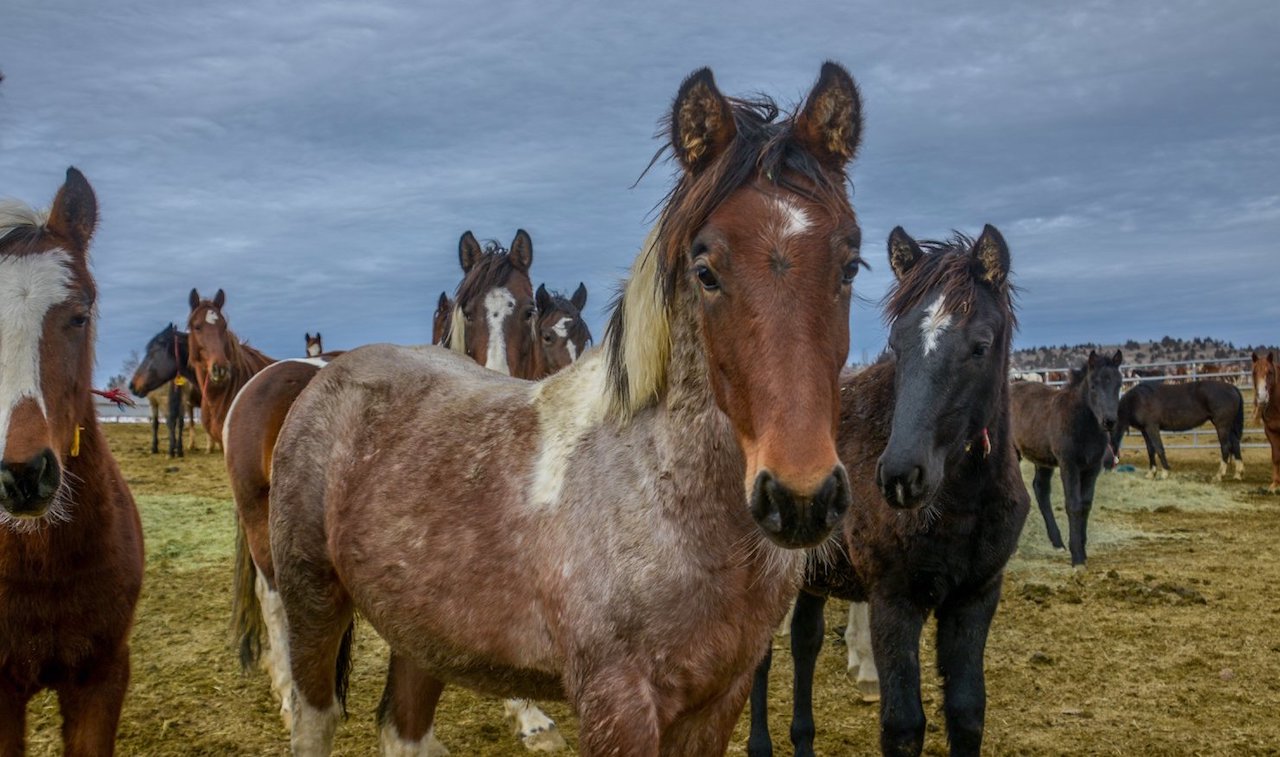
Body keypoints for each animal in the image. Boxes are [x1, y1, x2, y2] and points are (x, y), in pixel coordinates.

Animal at [271, 63, 870, 757]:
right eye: (706, 270)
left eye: (850, 264)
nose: (800, 499)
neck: (664, 495)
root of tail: (329, 376)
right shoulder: (618, 705)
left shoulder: (718, 701)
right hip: (313, 604)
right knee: (316, 718)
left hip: (420, 633)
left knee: (403, 727)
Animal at [747, 225, 1029, 757]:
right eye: (897, 345)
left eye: (980, 346)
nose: (901, 476)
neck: (963, 502)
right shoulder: (893, 601)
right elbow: (902, 725)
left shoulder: (976, 597)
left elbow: (967, 713)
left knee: (805, 642)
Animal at [1008, 353, 1121, 566]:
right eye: (1093, 385)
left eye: (1119, 384)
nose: (1109, 421)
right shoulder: (1069, 465)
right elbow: (1074, 505)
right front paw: (1077, 556)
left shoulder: (1092, 467)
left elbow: (1086, 504)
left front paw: (1082, 548)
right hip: (1013, 453)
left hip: (1042, 458)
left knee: (1041, 490)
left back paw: (1057, 542)